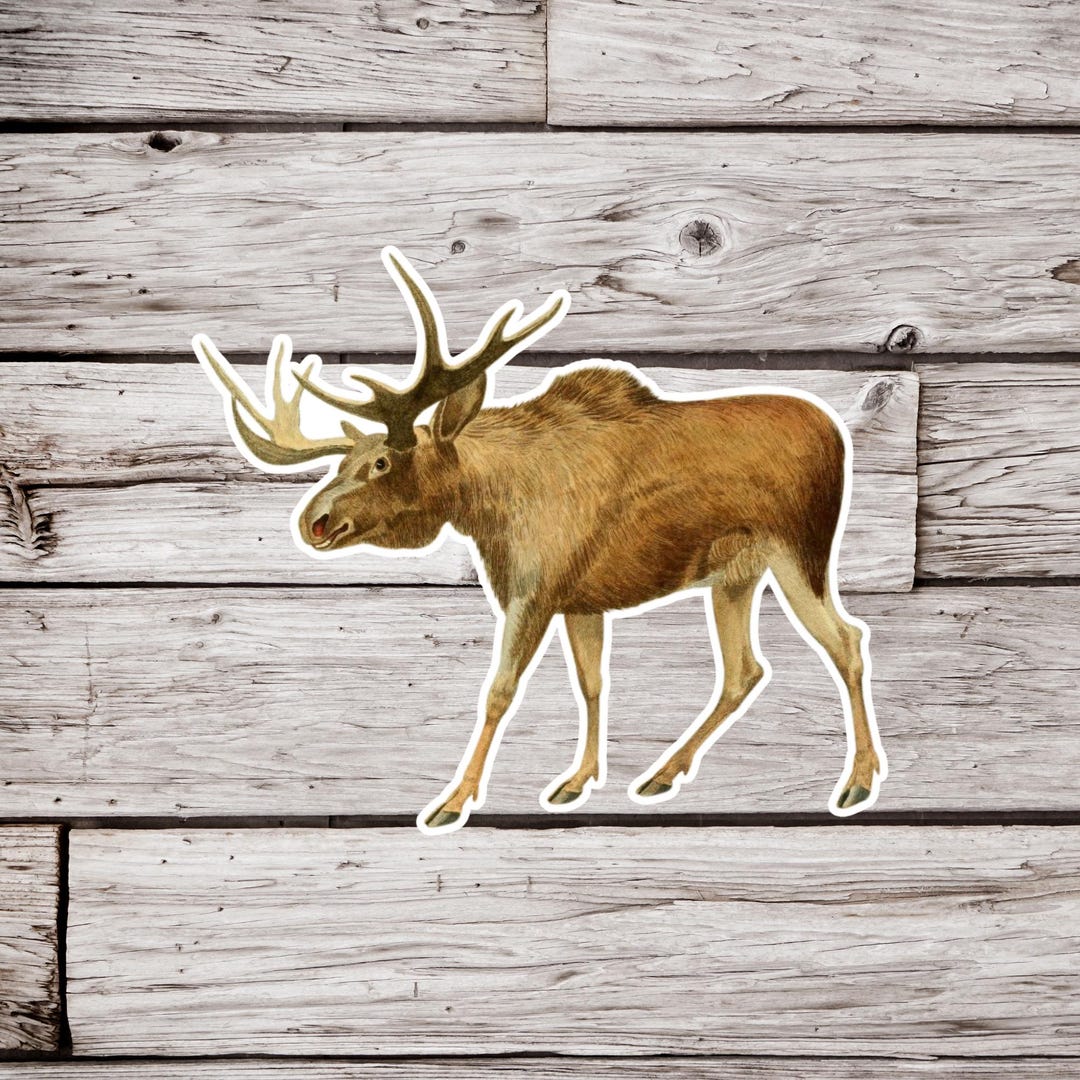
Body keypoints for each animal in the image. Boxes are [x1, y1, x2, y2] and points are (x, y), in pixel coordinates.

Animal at [194, 247, 886, 833]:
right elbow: (591, 682)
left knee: (847, 641)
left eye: (383, 463)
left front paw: (453, 801)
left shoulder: (534, 593)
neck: (491, 508)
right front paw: (578, 780)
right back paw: (662, 773)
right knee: (744, 669)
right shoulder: (581, 600)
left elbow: (499, 691)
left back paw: (857, 781)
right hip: (735, 574)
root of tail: (835, 433)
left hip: (800, 552)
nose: (312, 521)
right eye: (344, 462)